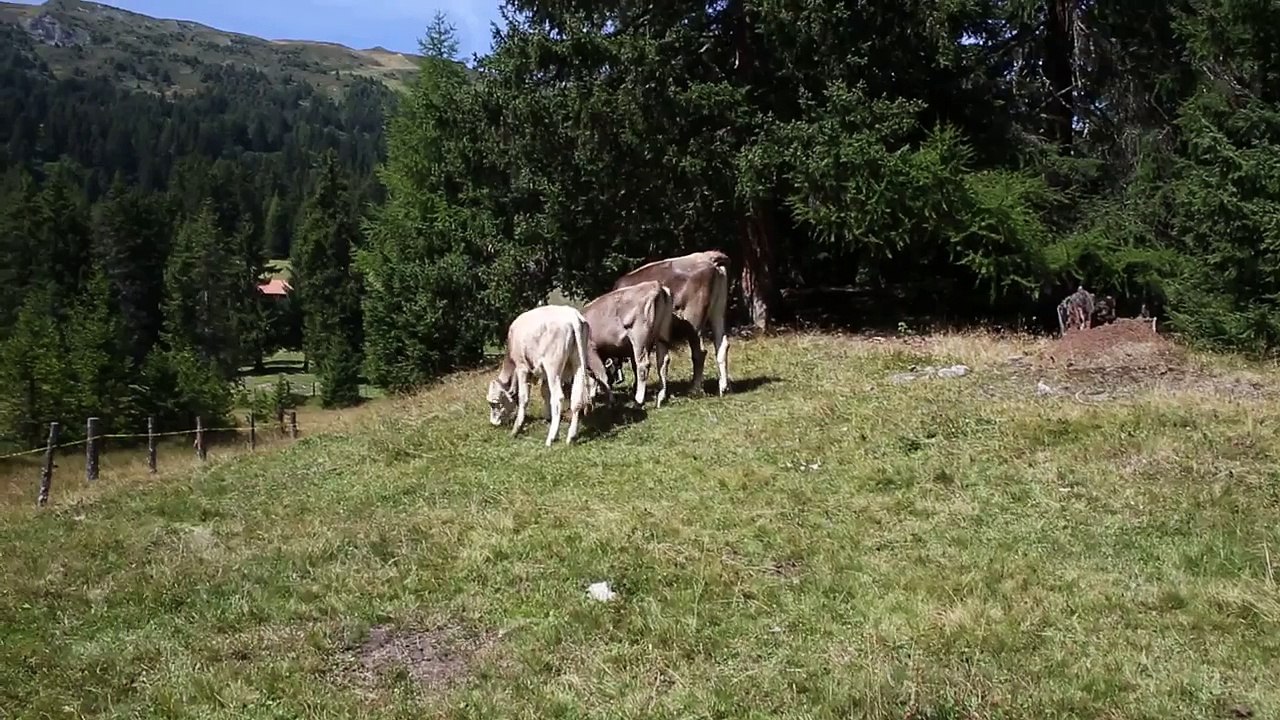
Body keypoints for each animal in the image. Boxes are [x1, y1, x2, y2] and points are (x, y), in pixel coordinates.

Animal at [486, 304, 605, 447]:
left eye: (494, 403)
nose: (494, 423)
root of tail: (572, 316)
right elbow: (545, 392)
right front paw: (548, 417)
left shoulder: (522, 367)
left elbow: (524, 398)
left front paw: (516, 429)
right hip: (578, 363)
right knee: (576, 398)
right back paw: (571, 436)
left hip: (553, 366)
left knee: (558, 397)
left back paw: (551, 438)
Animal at [609, 250, 730, 397]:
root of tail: (708, 257)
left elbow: (635, 361)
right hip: (718, 312)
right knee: (721, 345)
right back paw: (723, 387)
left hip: (694, 320)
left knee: (699, 352)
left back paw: (695, 389)